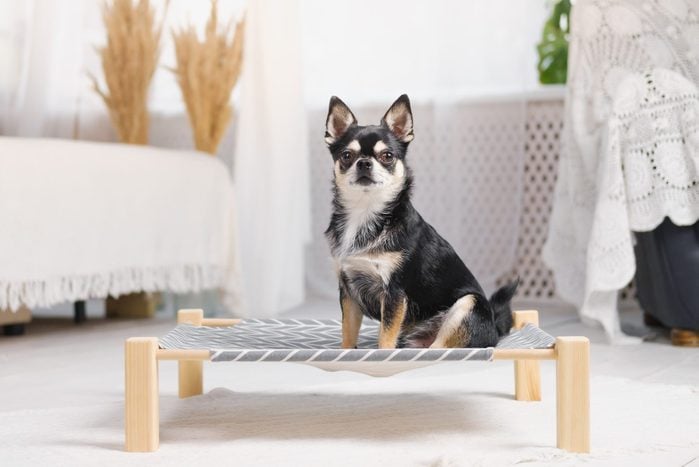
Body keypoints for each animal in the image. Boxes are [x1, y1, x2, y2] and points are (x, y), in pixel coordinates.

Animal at [326, 93, 516, 350]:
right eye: (347, 156)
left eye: (387, 156)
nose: (364, 162)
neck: (365, 214)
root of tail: (496, 329)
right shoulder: (348, 291)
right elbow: (348, 333)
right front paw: (347, 351)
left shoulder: (394, 294)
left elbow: (385, 338)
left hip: (467, 304)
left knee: (441, 347)